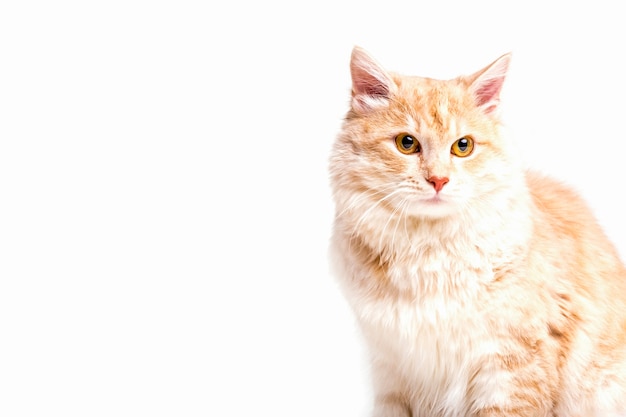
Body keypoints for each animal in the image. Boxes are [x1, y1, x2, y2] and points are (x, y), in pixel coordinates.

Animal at [326, 46, 624, 416]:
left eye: (463, 146)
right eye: (406, 143)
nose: (438, 180)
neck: (428, 254)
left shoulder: (512, 367)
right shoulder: (391, 370)